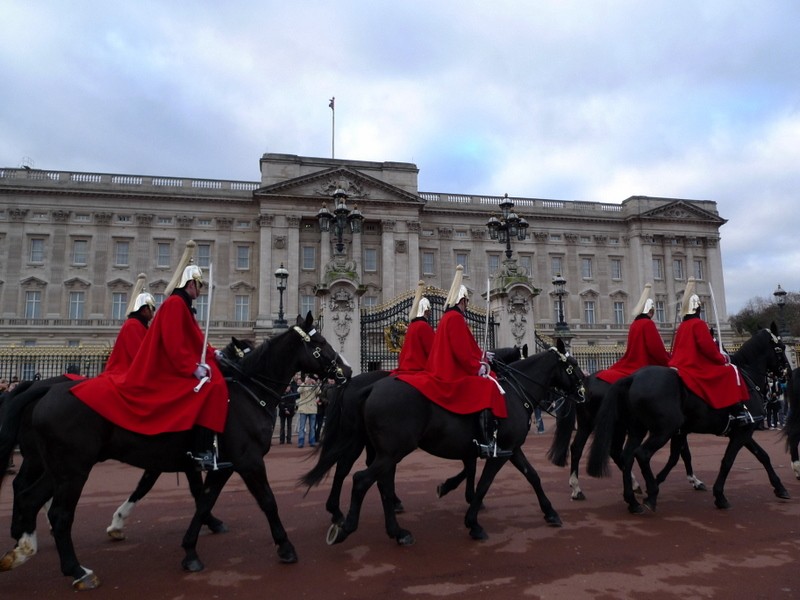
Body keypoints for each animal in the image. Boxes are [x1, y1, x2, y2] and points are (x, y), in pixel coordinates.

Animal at [0, 314, 348, 592]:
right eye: (320, 342)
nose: (346, 369)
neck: (247, 392)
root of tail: (47, 388)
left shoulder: (220, 463)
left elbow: (203, 499)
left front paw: (190, 549)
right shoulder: (246, 460)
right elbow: (266, 501)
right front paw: (285, 547)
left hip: (58, 467)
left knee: (30, 496)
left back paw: (24, 546)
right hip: (73, 468)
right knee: (59, 513)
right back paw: (76, 569)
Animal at [304, 340, 584, 548]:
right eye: (572, 365)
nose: (583, 393)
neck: (512, 392)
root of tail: (367, 387)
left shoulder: (507, 448)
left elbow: (530, 475)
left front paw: (550, 512)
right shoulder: (499, 452)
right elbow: (483, 482)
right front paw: (472, 521)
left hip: (385, 449)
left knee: (375, 478)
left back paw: (395, 529)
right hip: (389, 448)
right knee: (359, 477)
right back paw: (345, 525)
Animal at [584, 326, 792, 512]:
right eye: (780, 348)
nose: (788, 374)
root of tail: (632, 378)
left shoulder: (741, 431)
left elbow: (762, 456)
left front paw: (780, 488)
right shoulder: (741, 431)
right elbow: (727, 461)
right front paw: (719, 496)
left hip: (638, 429)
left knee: (627, 456)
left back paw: (633, 501)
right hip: (662, 429)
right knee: (641, 454)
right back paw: (650, 495)